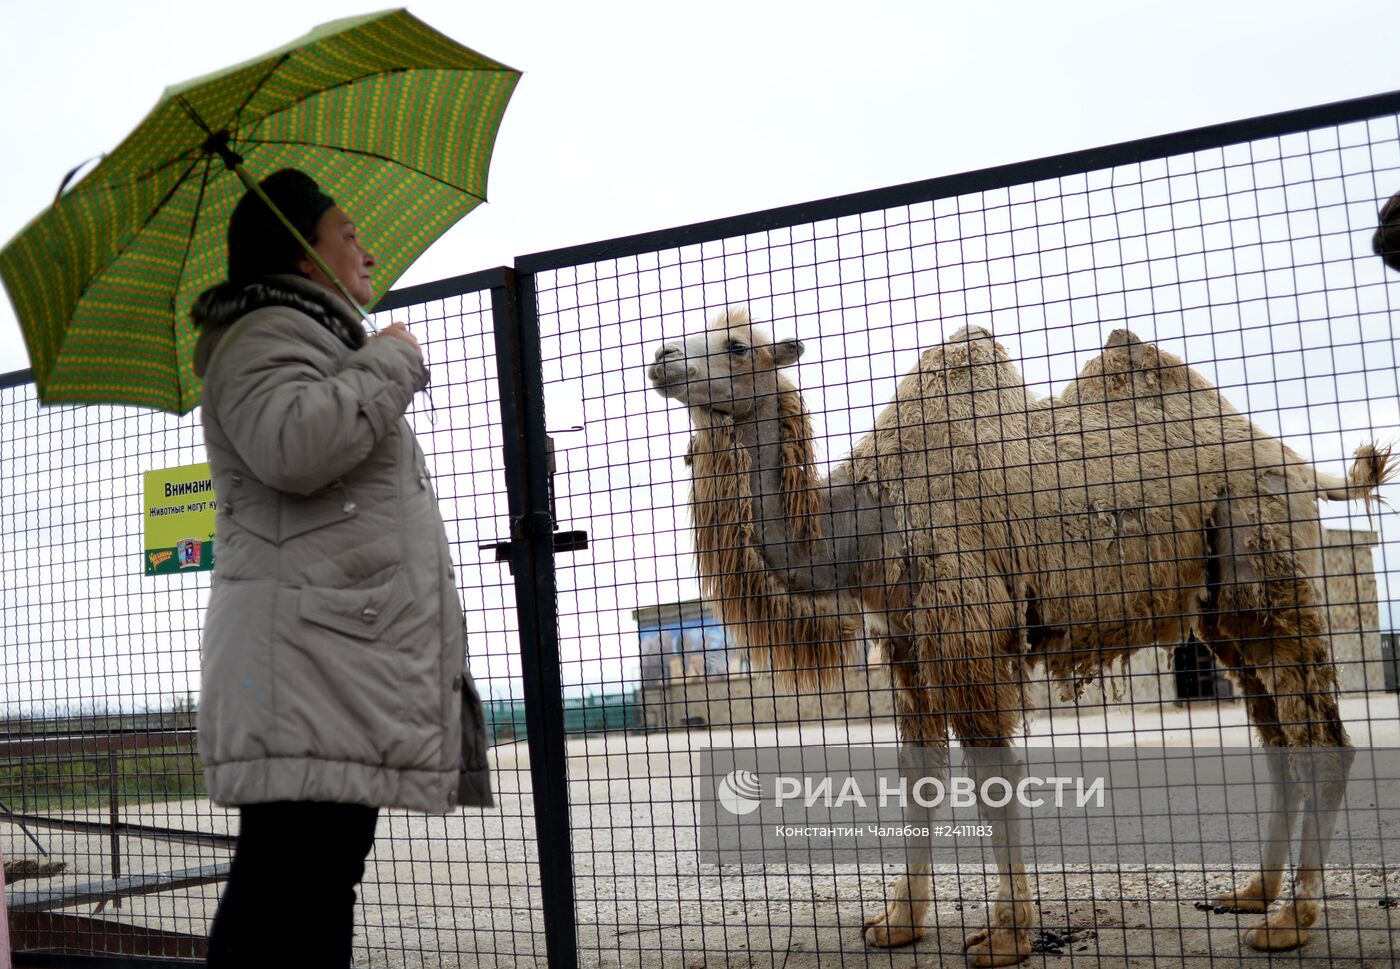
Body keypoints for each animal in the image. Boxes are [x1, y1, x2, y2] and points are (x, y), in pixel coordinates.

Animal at [644, 308, 1388, 963]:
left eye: (737, 345)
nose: (661, 357)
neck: (868, 523)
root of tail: (1299, 465)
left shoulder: (967, 624)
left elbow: (992, 776)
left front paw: (1007, 936)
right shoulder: (904, 640)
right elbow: (920, 775)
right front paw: (896, 923)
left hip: (1263, 553)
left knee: (1322, 735)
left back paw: (1289, 922)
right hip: (1221, 606)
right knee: (1277, 737)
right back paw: (1253, 894)